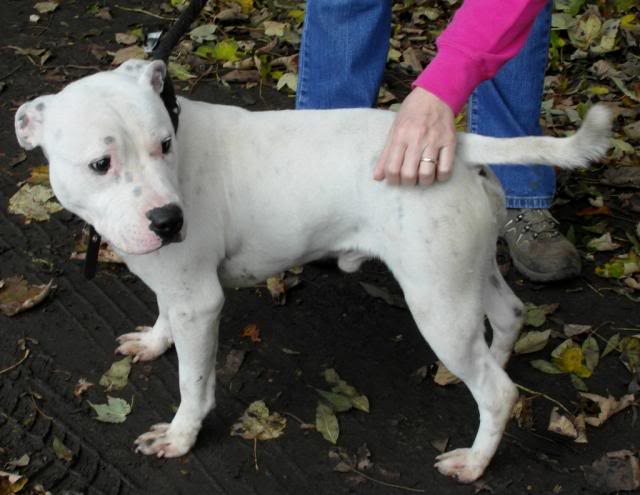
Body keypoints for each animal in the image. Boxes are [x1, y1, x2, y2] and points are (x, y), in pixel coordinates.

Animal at [15, 60, 608, 482]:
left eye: (164, 145)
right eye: (100, 165)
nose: (168, 219)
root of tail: (457, 144)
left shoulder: (199, 302)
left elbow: (193, 380)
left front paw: (182, 437)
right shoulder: (177, 285)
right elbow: (165, 317)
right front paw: (157, 342)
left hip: (436, 303)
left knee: (498, 391)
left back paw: (476, 461)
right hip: (467, 273)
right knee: (507, 316)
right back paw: (497, 360)